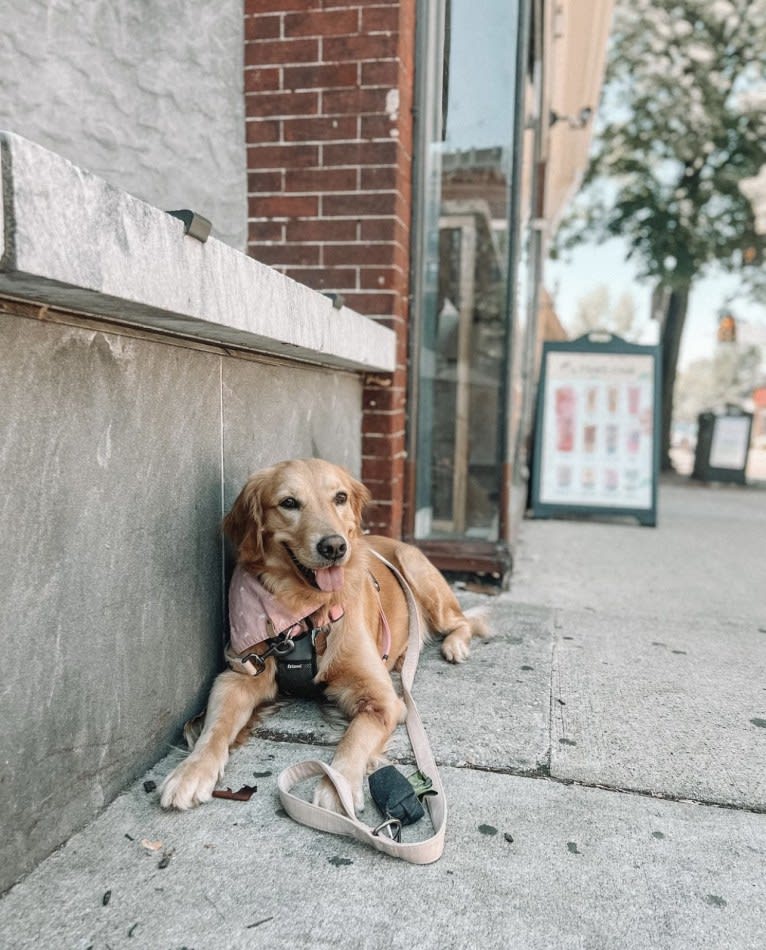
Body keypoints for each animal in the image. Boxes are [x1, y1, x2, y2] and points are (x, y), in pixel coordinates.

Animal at [160, 458, 488, 816]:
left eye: (340, 498)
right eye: (289, 503)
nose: (334, 546)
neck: (306, 615)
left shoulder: (384, 700)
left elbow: (354, 737)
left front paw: (337, 785)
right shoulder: (238, 676)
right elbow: (215, 727)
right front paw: (191, 771)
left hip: (419, 575)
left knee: (463, 621)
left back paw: (454, 646)